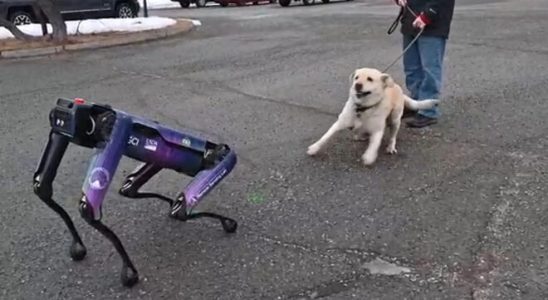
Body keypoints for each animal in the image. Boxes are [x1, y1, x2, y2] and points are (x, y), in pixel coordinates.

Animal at [32, 98, 238, 286]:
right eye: (58, 118)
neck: (95, 118)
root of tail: (220, 150)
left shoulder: (117, 127)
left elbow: (88, 209)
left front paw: (129, 272)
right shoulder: (63, 133)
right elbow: (42, 187)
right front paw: (79, 248)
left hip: (216, 163)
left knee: (182, 209)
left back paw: (219, 218)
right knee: (130, 188)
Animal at [306, 67, 438, 166]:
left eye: (370, 79)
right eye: (356, 77)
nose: (357, 85)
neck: (362, 108)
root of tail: (396, 86)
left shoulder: (377, 130)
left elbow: (374, 145)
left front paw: (369, 156)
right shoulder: (339, 123)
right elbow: (325, 137)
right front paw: (314, 148)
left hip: (395, 119)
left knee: (392, 136)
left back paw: (390, 146)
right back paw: (361, 136)